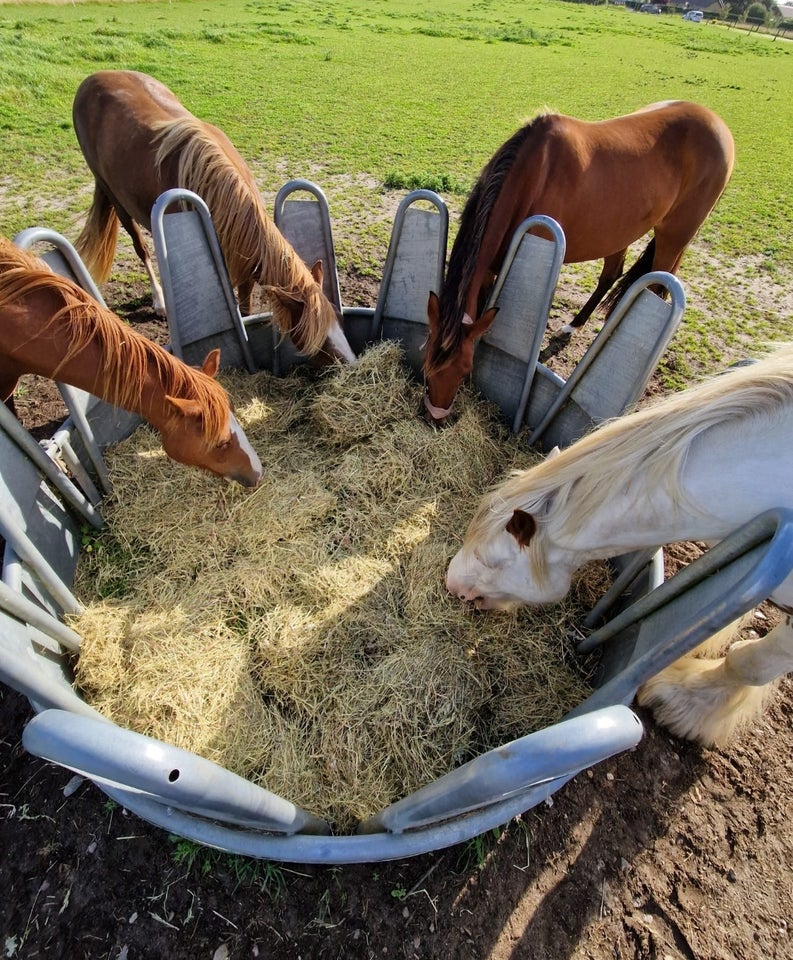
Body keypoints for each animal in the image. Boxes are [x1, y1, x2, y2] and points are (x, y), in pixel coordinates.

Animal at [71, 69, 356, 366]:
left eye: (339, 319)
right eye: (318, 343)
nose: (351, 363)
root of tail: (93, 79)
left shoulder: (245, 265)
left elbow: (246, 309)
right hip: (115, 198)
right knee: (141, 248)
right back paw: (160, 301)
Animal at [424, 100, 732, 424]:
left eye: (465, 368)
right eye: (427, 356)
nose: (435, 417)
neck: (532, 175)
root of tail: (717, 123)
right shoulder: (490, 268)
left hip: (673, 239)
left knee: (658, 285)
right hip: (617, 234)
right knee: (611, 275)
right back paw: (575, 325)